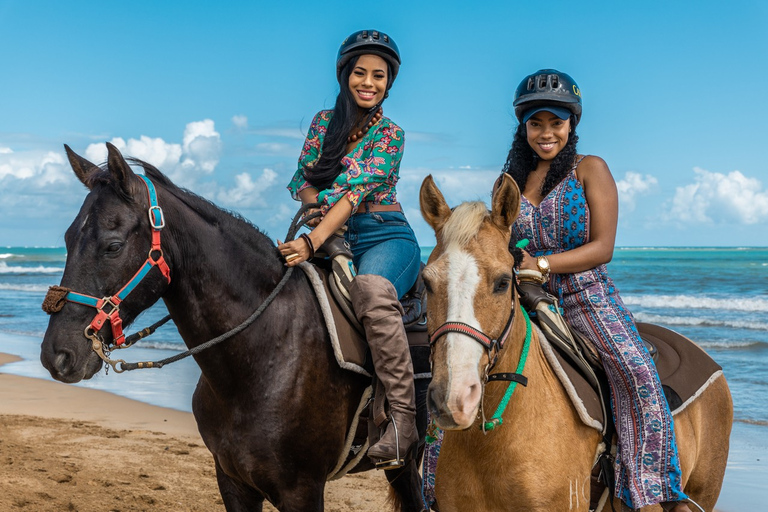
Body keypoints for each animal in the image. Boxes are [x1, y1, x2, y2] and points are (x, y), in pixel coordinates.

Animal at [40, 144, 426, 512]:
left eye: (113, 245)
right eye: (67, 238)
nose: (56, 356)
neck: (266, 353)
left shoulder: (301, 491)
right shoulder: (233, 482)